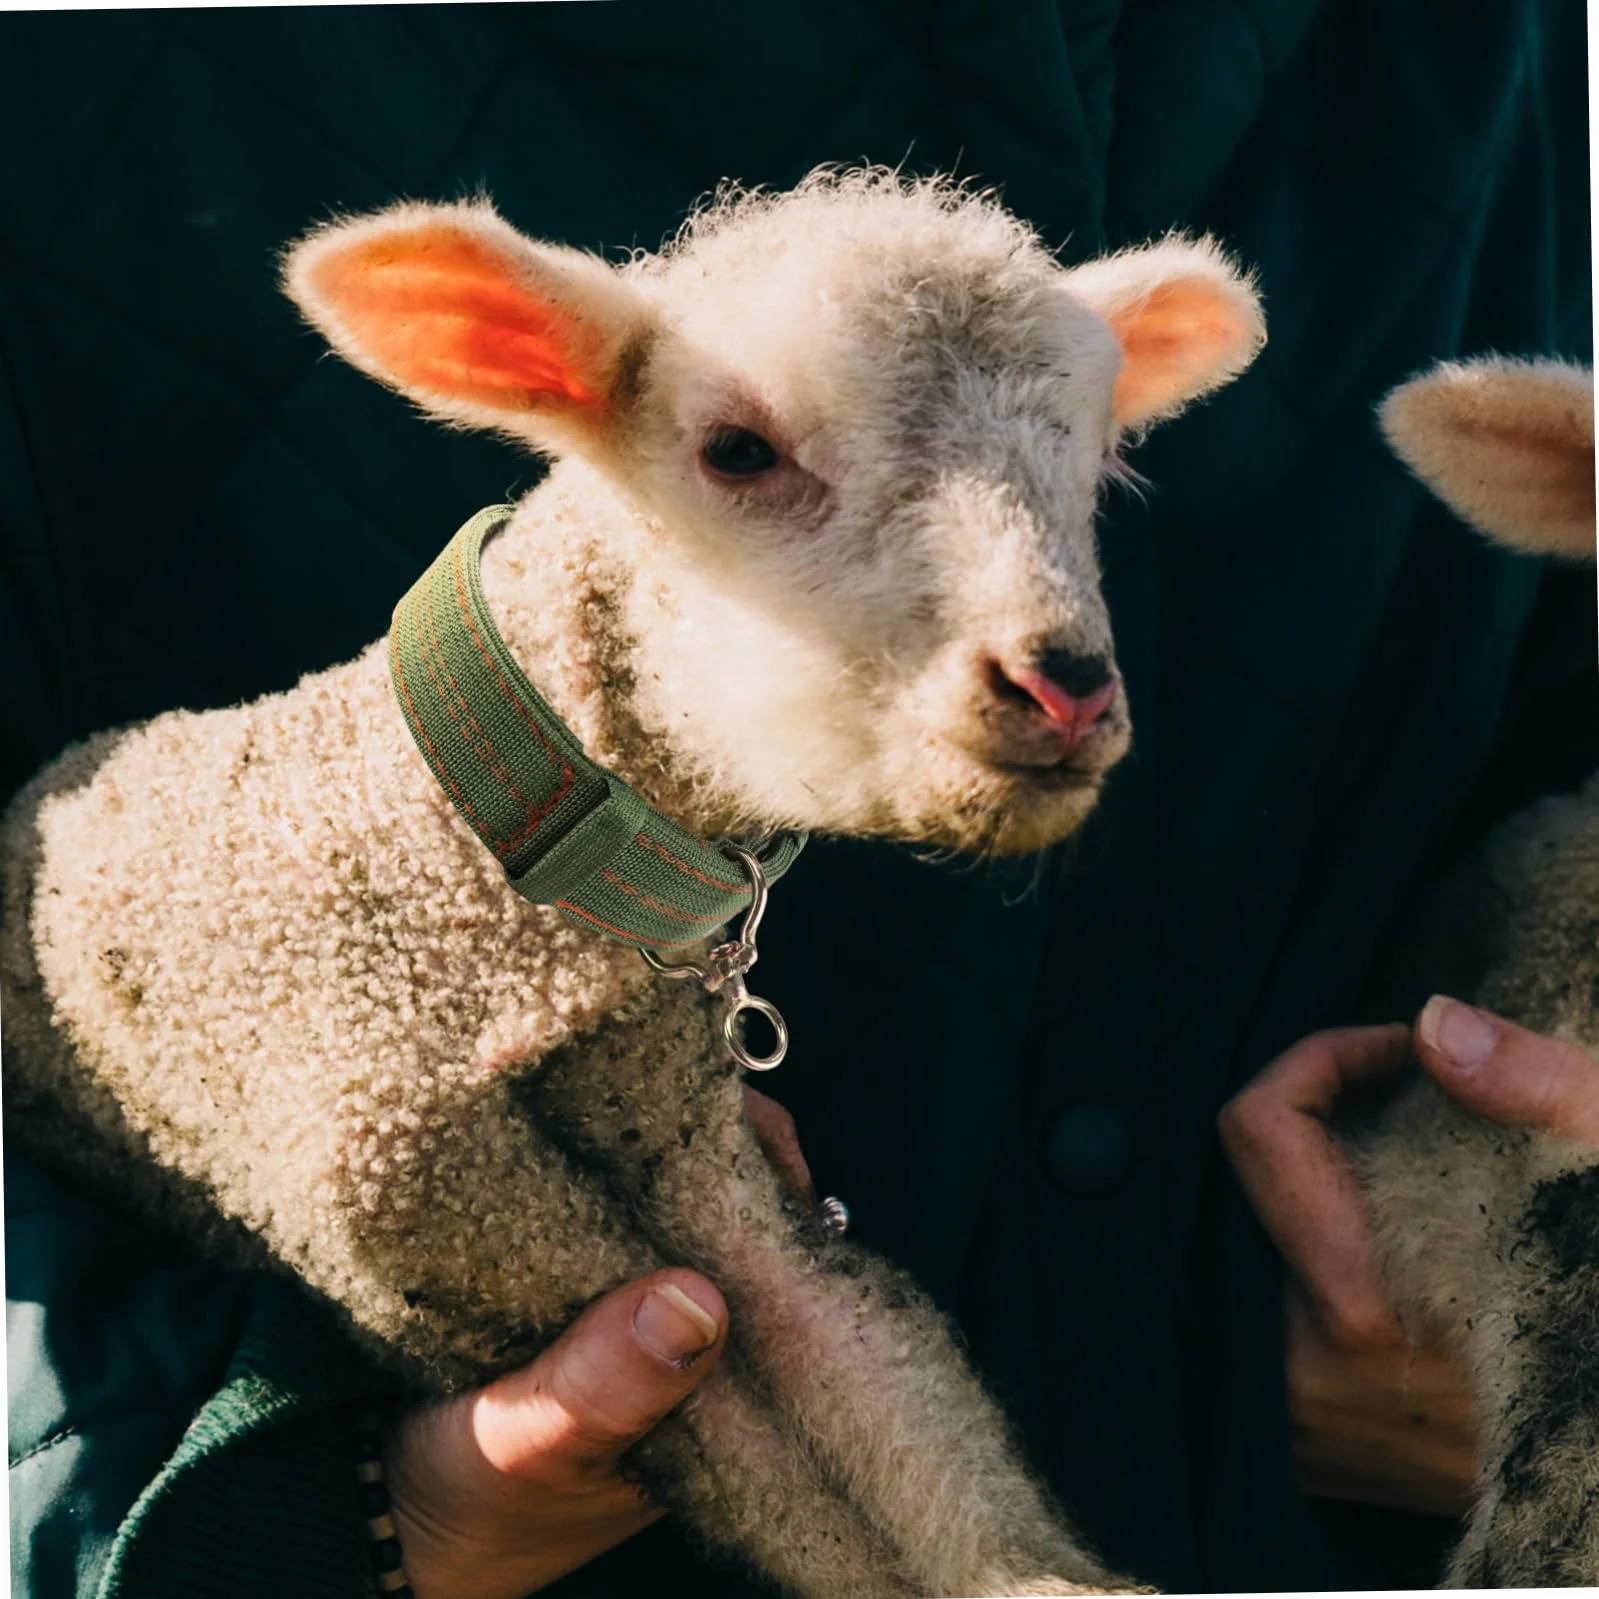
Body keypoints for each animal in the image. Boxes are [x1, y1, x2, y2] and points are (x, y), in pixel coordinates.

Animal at [0, 168, 1265, 1599]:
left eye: (1091, 461)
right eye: (738, 451)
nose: (1063, 685)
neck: (464, 868)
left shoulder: (687, 1137)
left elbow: (871, 1367)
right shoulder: (431, 1222)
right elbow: (754, 1458)